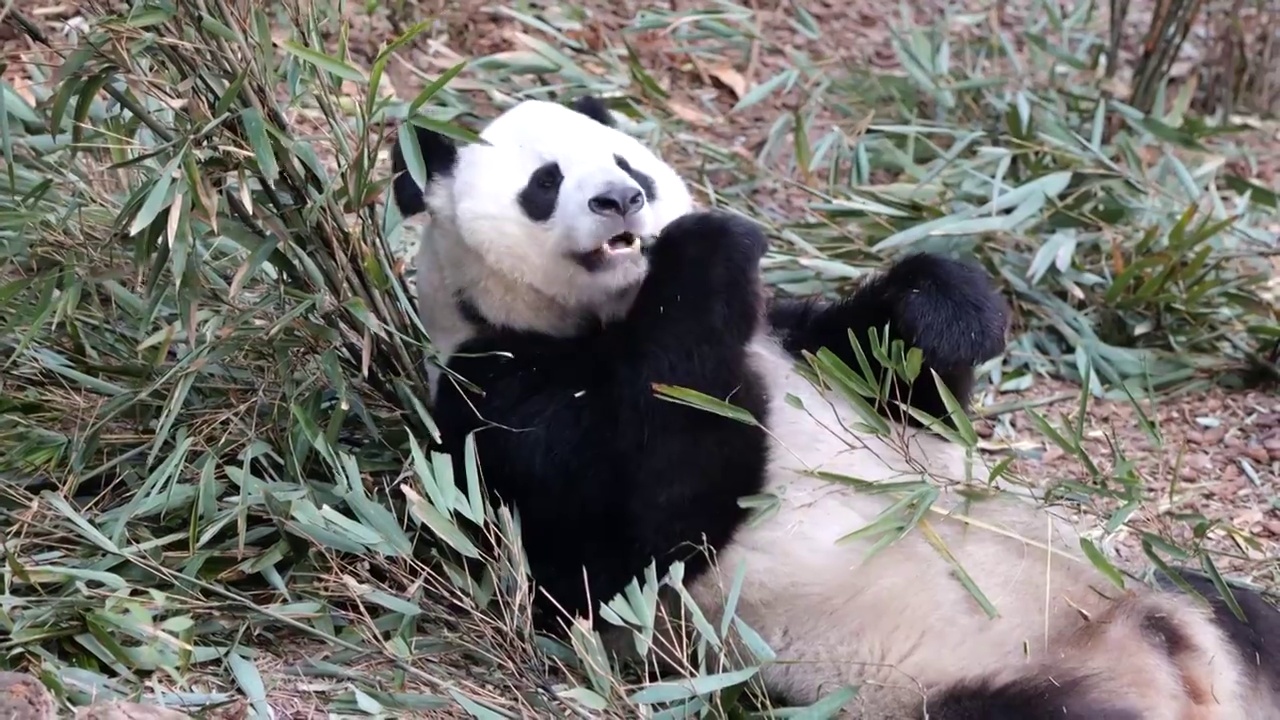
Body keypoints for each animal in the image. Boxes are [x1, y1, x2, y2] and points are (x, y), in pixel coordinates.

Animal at [389, 96, 1280, 717]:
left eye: (623, 161)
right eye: (545, 184)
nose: (620, 201)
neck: (608, 316)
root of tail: (1178, 667)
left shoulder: (790, 336)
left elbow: (907, 389)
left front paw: (949, 309)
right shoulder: (497, 395)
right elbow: (631, 539)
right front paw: (707, 248)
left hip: (1148, 584)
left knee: (1245, 610)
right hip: (954, 687)